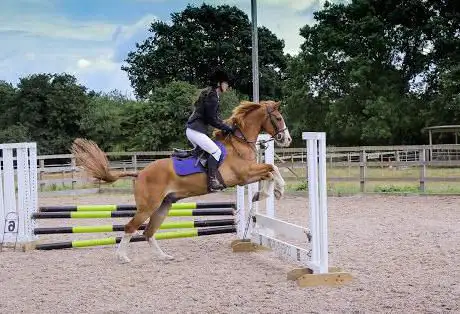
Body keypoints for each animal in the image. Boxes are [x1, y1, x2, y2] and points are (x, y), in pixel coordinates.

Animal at [70, 100, 292, 262]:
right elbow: (272, 168)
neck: (238, 144)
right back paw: (122, 257)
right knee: (130, 227)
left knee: (148, 232)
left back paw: (164, 256)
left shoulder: (248, 176)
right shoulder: (244, 175)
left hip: (163, 206)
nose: (287, 139)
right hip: (148, 206)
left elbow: (270, 172)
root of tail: (139, 174)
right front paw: (278, 190)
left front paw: (266, 193)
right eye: (278, 118)